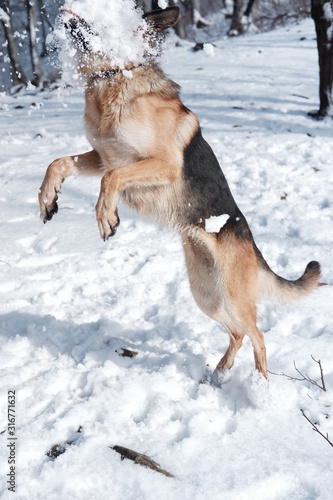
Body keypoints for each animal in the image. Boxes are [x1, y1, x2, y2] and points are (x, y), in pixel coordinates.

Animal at [38, 6, 320, 378]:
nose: (68, 9)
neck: (116, 76)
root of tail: (251, 243)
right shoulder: (101, 155)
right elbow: (58, 163)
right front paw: (47, 198)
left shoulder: (159, 163)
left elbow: (111, 178)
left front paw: (106, 216)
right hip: (207, 295)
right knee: (238, 334)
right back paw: (219, 373)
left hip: (233, 297)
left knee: (258, 336)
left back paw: (261, 387)